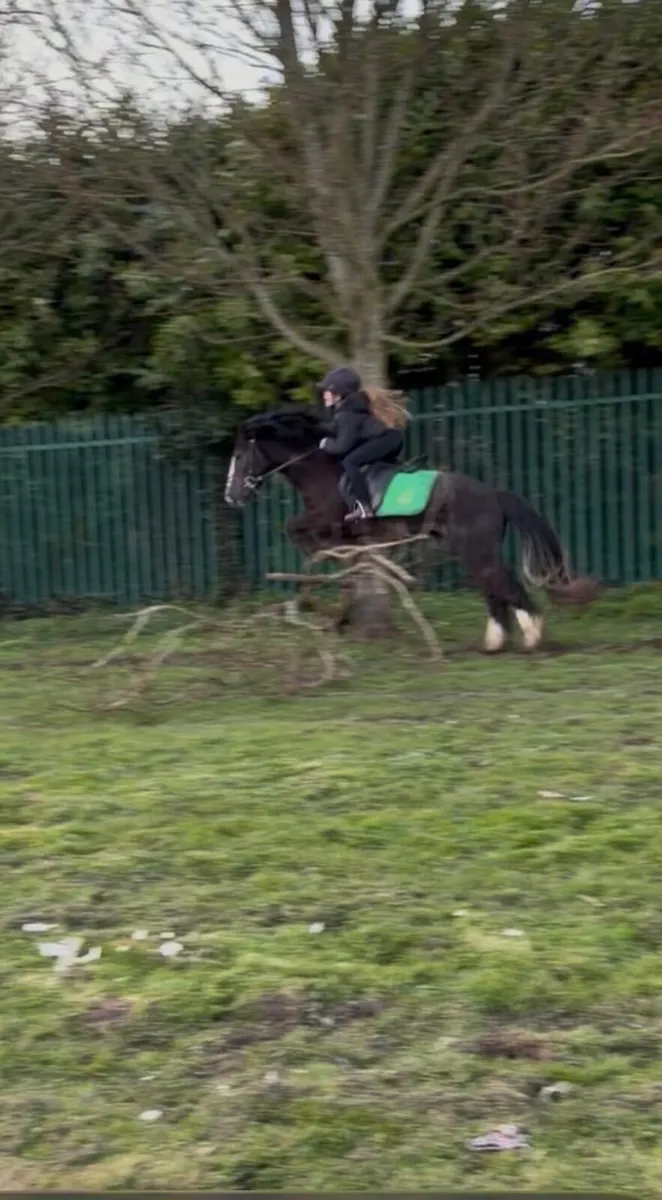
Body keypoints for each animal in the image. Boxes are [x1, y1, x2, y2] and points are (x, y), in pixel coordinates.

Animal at [224, 406, 598, 651]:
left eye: (240, 457)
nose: (232, 496)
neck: (321, 469)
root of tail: (492, 494)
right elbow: (303, 533)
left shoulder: (327, 516)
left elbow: (296, 529)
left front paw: (326, 558)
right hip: (471, 550)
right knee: (494, 586)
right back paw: (496, 641)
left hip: (476, 549)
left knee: (502, 583)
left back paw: (531, 634)